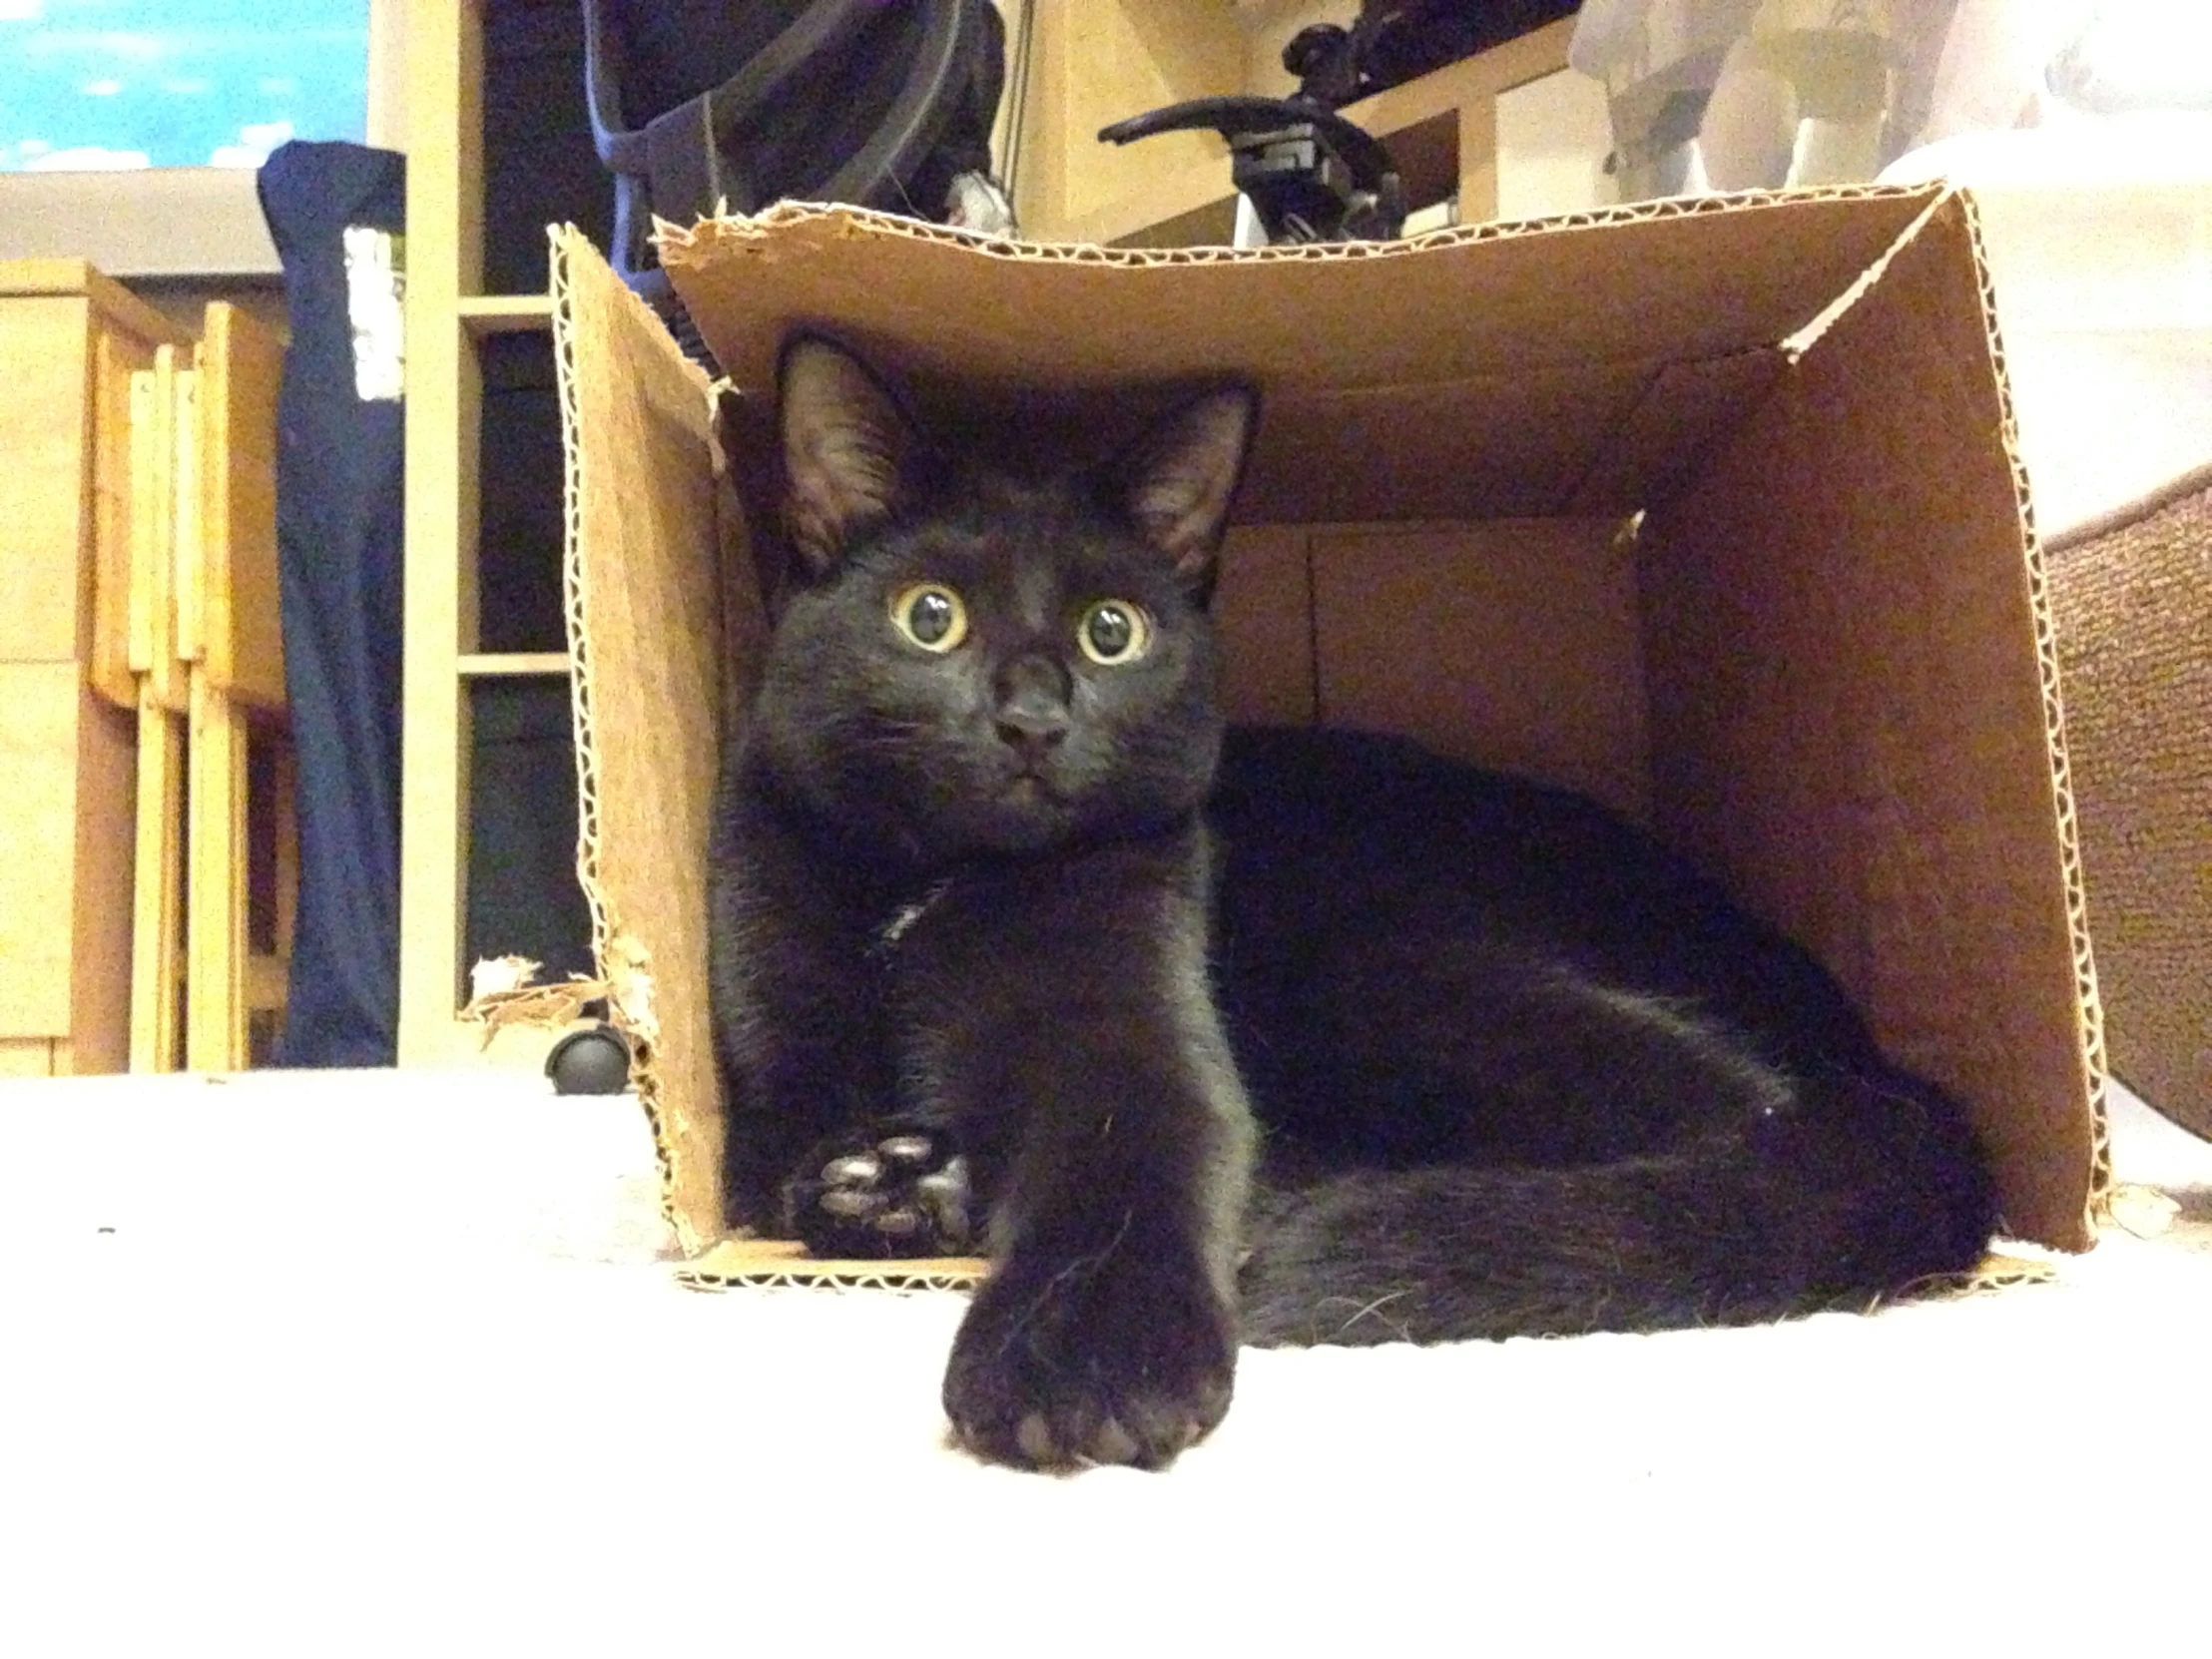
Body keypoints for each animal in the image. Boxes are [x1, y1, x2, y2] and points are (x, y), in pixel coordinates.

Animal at [712, 333, 2008, 1468]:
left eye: (1110, 632)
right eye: (929, 616)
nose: (1031, 718)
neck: (931, 879)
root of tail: (1868, 1064)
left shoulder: (1132, 1015)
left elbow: (1145, 1139)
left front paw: (1085, 1360)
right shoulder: (771, 1055)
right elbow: (776, 1158)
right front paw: (883, 1183)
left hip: (1383, 969)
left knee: (1732, 1114)